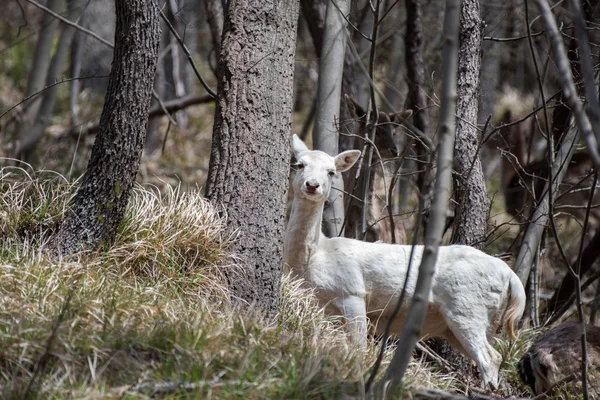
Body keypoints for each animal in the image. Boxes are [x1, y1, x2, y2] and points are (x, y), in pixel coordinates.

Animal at [284, 135, 524, 388]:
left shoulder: (352, 292)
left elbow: (359, 347)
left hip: (467, 308)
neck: (315, 256)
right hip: (468, 323)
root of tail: (511, 276)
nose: (312, 185)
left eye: (331, 172)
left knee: (489, 358)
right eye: (299, 164)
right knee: (493, 355)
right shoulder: (321, 306)